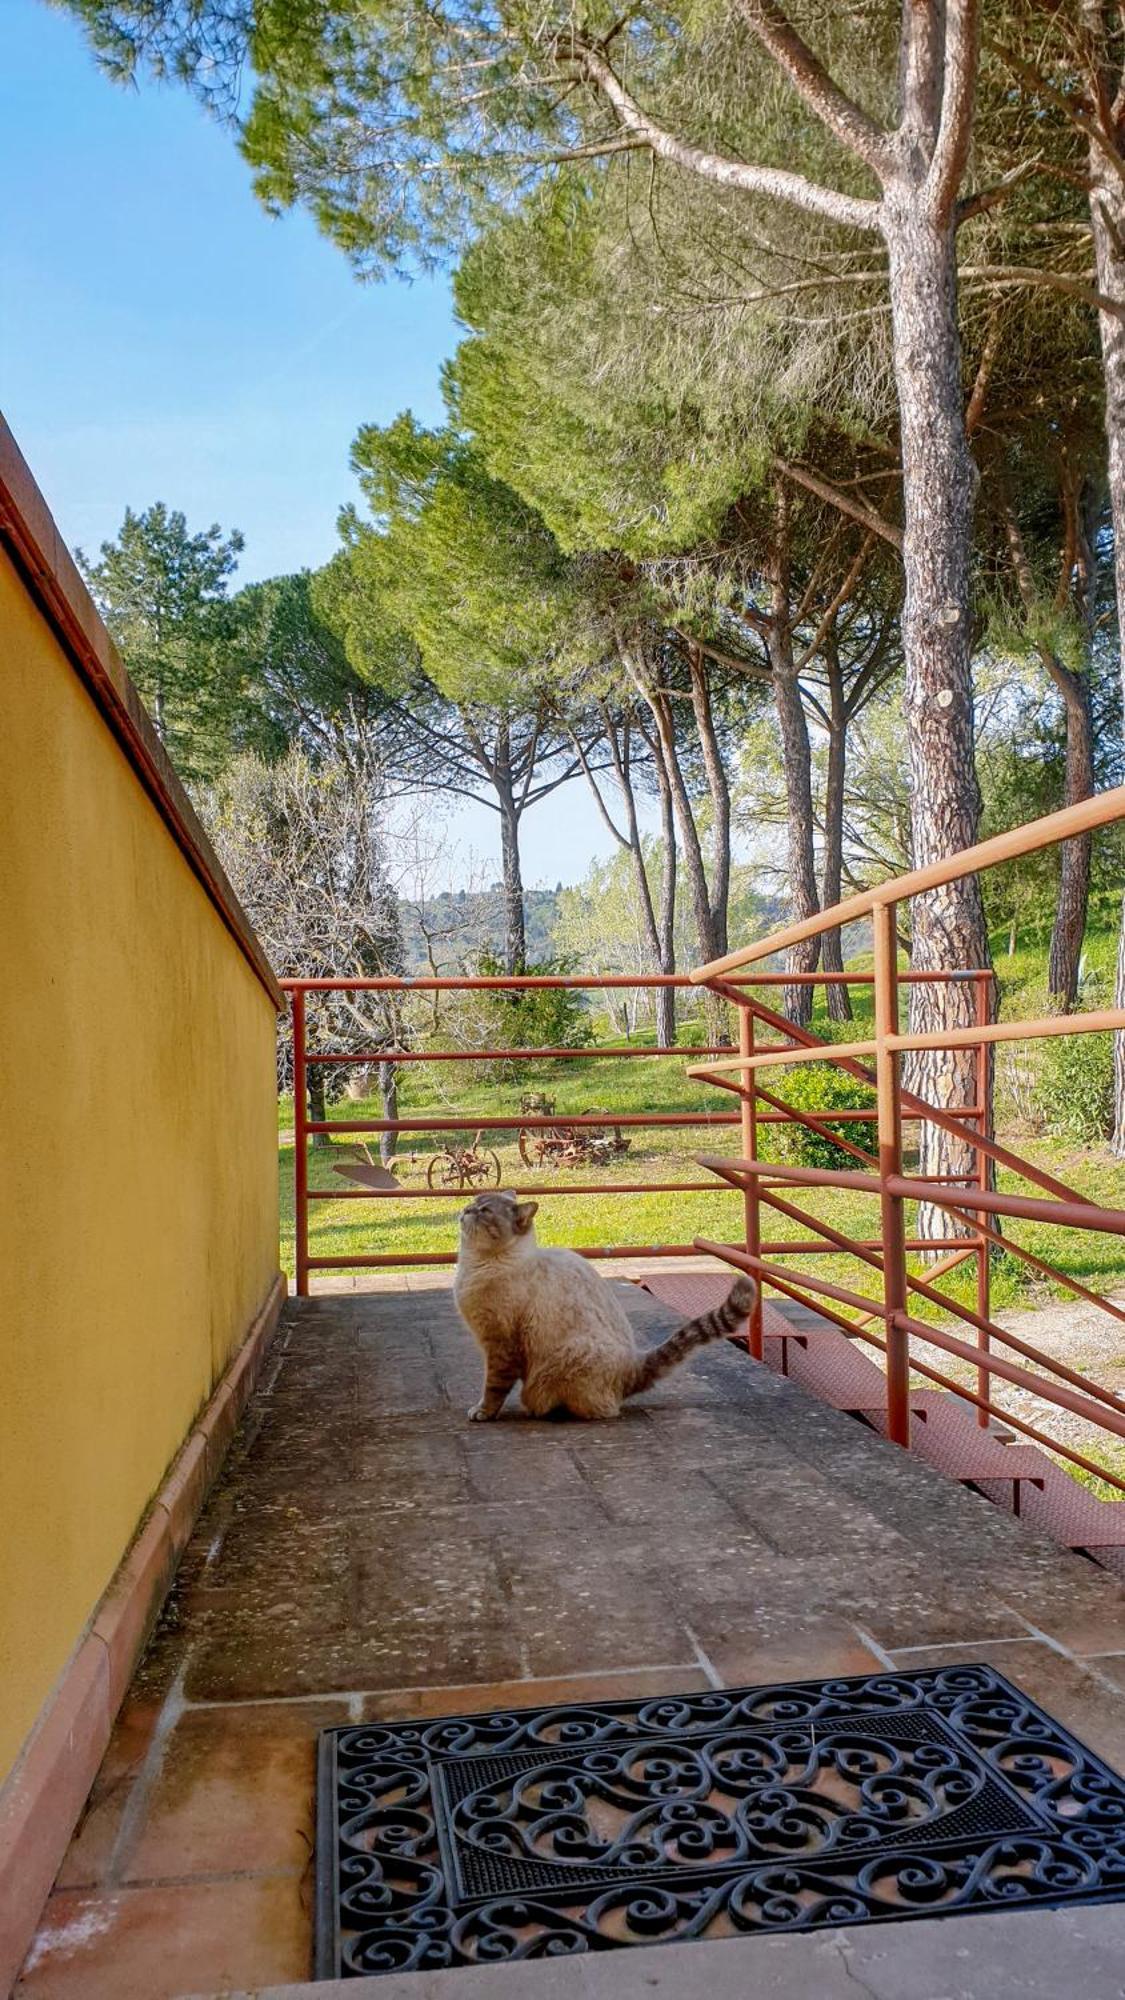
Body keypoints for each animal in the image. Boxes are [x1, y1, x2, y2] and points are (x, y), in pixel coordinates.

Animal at [450, 1184, 756, 1424]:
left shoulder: (500, 1345)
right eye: (473, 1202)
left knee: (603, 1411)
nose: (464, 1210)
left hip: (563, 1364)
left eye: (484, 1211)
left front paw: (482, 1412)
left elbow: (493, 1387)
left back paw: (547, 1411)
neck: (475, 1266)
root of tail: (634, 1364)